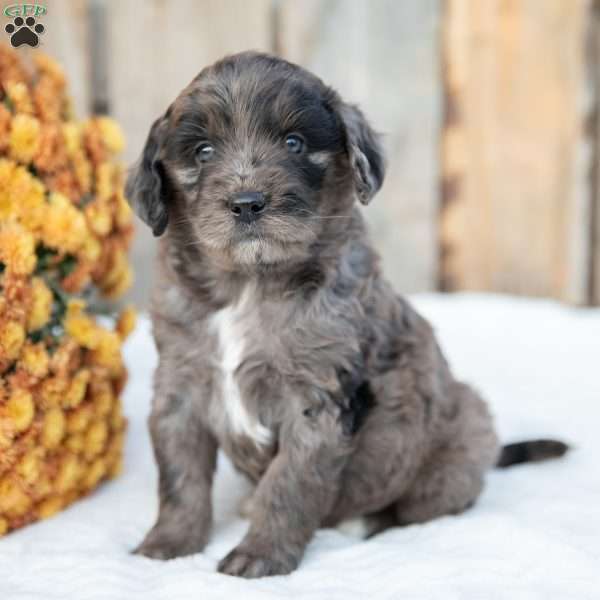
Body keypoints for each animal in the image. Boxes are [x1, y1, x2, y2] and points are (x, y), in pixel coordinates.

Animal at [126, 51, 568, 576]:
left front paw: (260, 555)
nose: (247, 203)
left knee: (421, 506)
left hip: (463, 437)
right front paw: (168, 543)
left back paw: (364, 523)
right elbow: (180, 478)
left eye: (294, 143)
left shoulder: (317, 400)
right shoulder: (180, 388)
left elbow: (288, 484)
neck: (249, 284)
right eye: (203, 152)